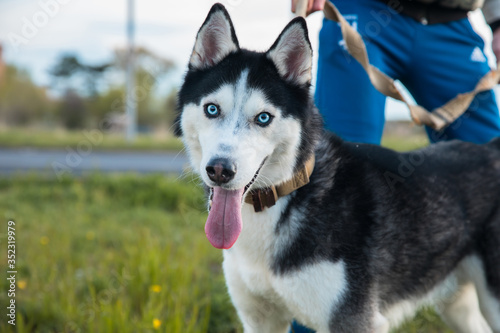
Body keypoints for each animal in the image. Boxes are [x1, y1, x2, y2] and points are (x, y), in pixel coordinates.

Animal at [175, 3, 500, 332]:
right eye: (212, 109)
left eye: (263, 118)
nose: (219, 170)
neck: (287, 197)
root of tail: (491, 147)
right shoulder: (259, 320)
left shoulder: (353, 320)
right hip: (456, 305)